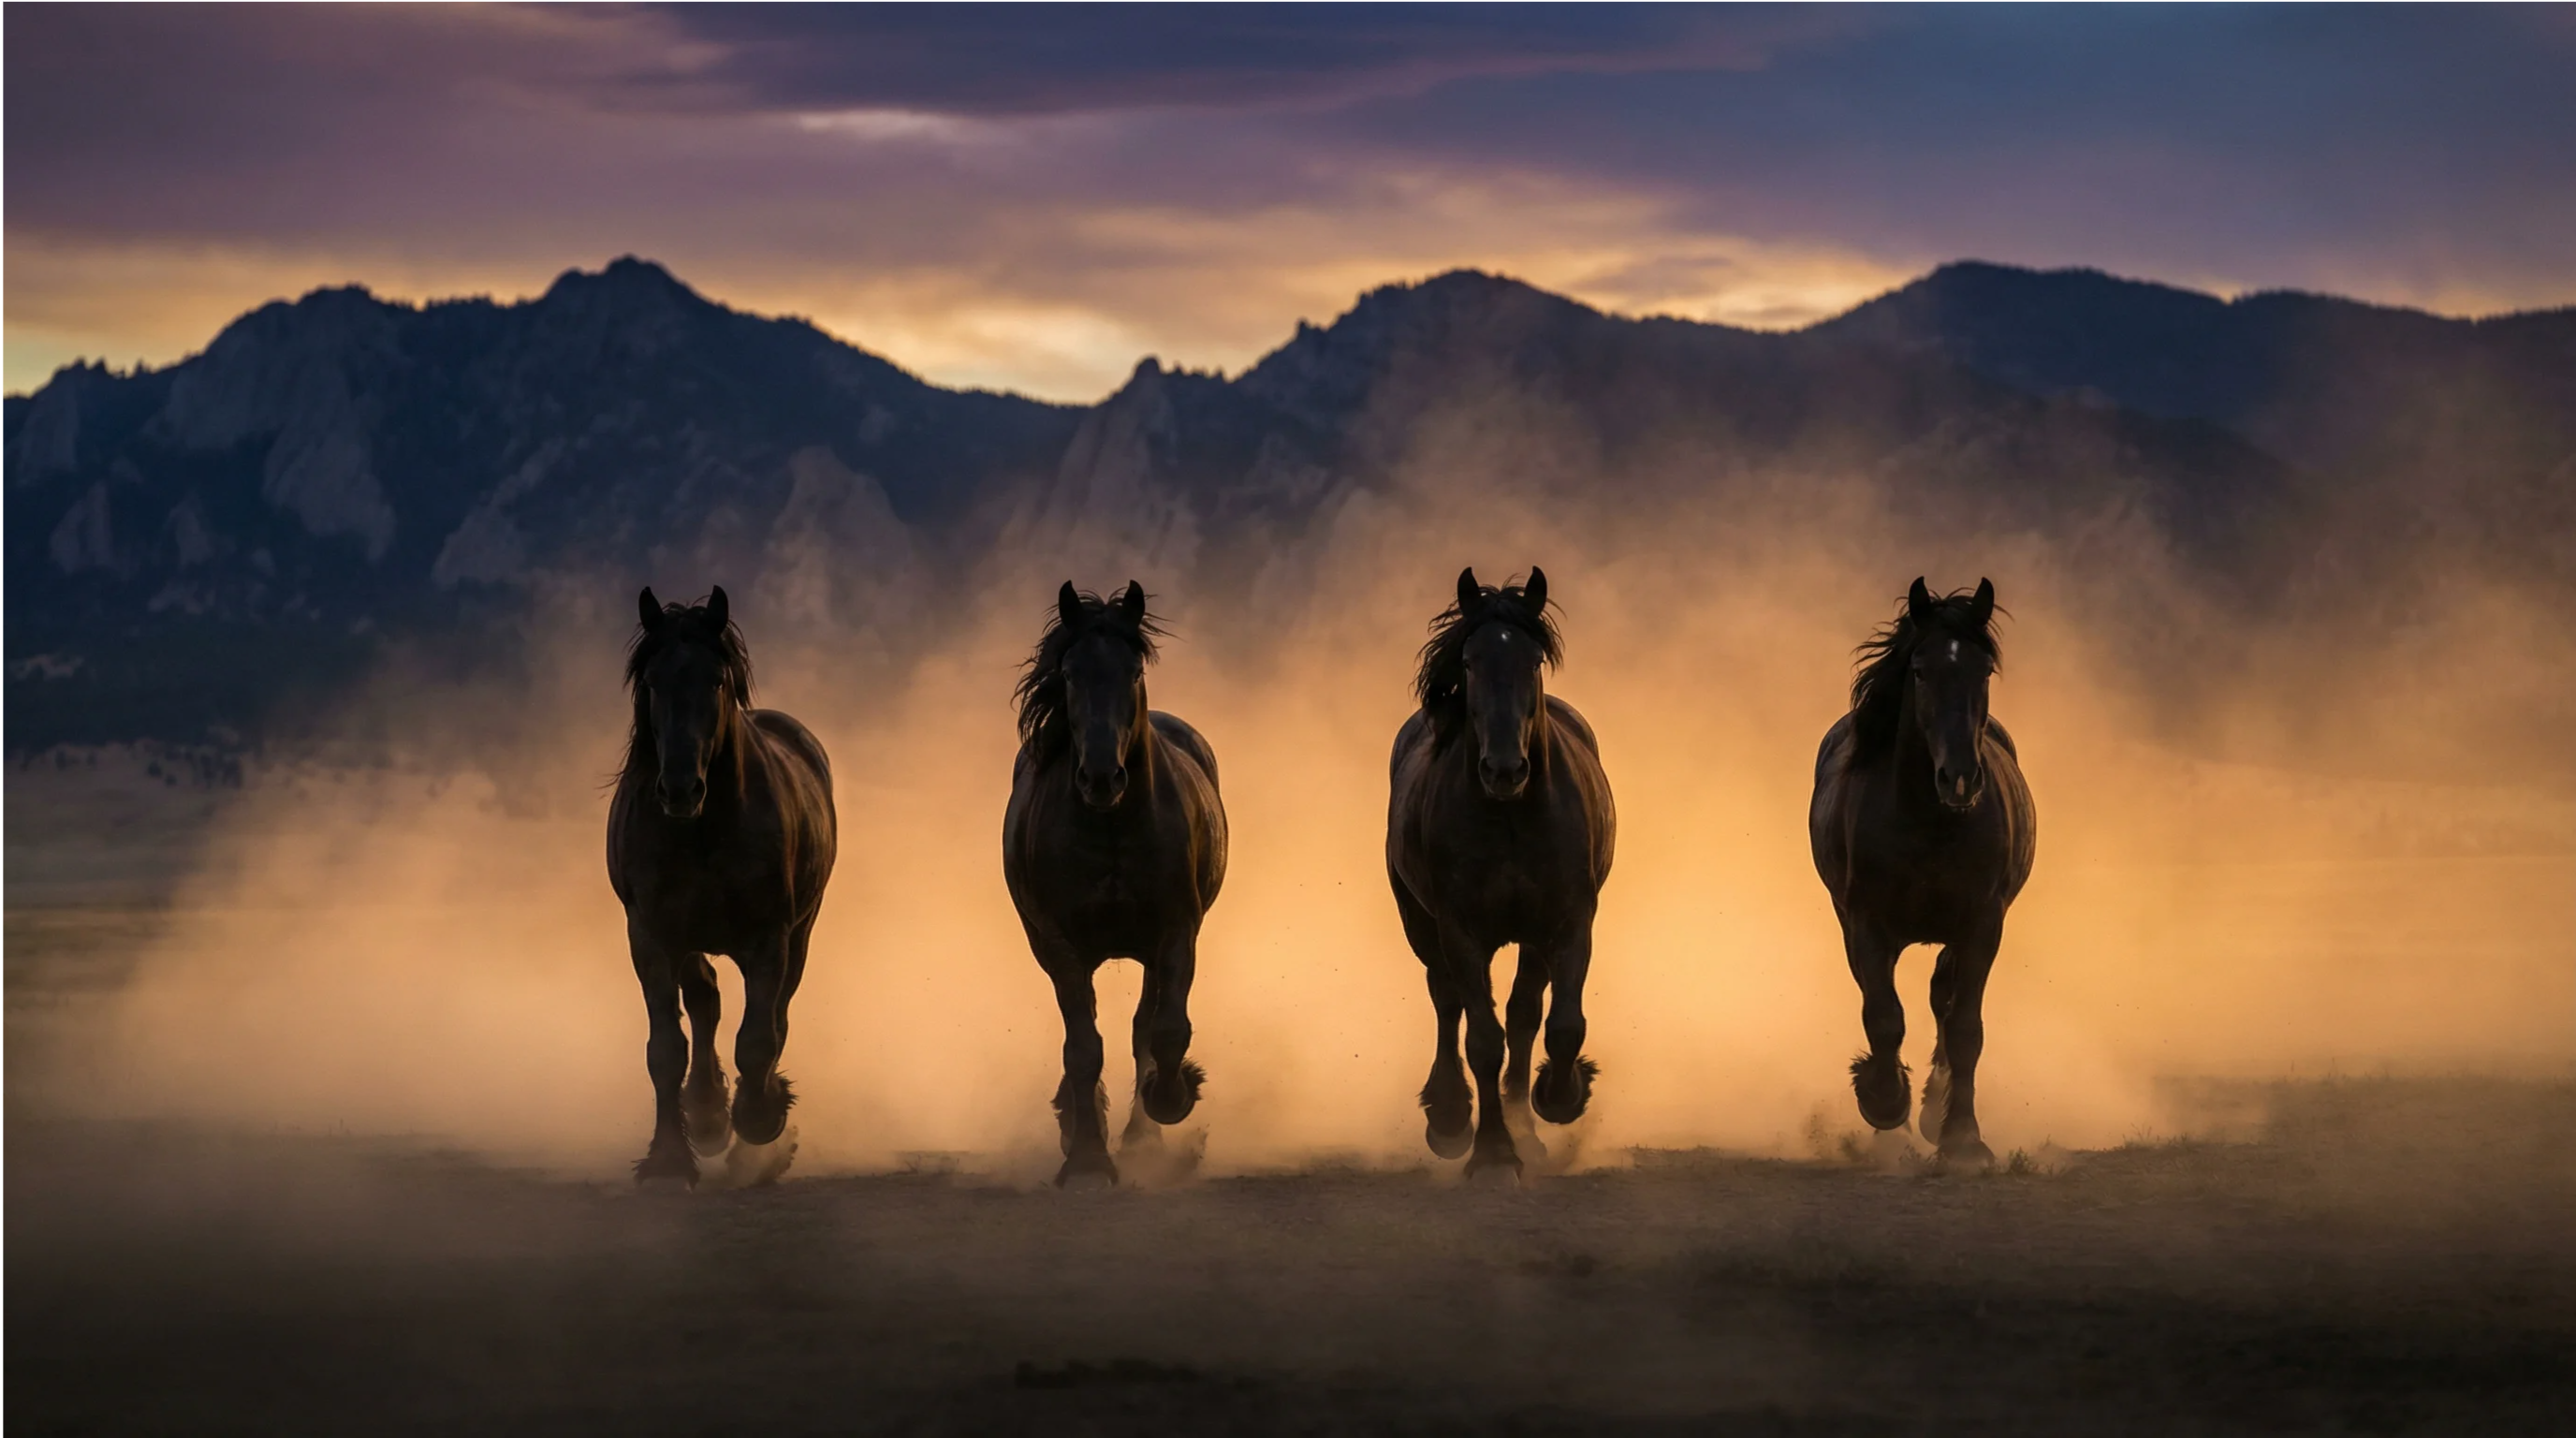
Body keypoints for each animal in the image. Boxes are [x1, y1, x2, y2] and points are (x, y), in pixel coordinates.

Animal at [607, 586, 836, 1187]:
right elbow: (666, 1049)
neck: (702, 830)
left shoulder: (769, 938)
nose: (680, 788)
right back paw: (707, 1113)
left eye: (715, 679)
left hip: (800, 932)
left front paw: (761, 1116)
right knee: (706, 1000)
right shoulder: (652, 936)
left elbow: (758, 1039)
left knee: (776, 1011)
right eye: (652, 681)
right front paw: (668, 1158)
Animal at [1002, 581, 1228, 1187]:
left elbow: (1165, 1031)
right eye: (1070, 672)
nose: (1101, 778)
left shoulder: (1175, 934)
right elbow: (1083, 1047)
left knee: (1142, 1029)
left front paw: (1171, 1099)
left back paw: (1140, 1133)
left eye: (1132, 671)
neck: (1111, 828)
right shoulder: (1060, 946)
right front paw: (1086, 1159)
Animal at [1387, 567, 1616, 1180]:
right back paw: (1449, 1117)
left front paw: (1558, 1098)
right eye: (1469, 662)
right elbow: (1482, 1039)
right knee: (1447, 1002)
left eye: (1533, 661)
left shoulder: (1568, 924)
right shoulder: (1460, 932)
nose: (1505, 769)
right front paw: (1491, 1152)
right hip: (1420, 924)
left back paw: (1528, 1129)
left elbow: (1559, 1026)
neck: (1512, 817)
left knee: (1524, 1015)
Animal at [1809, 577, 2037, 1170]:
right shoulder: (1866, 925)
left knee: (1943, 997)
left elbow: (1965, 1028)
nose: (1959, 778)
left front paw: (1962, 1138)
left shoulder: (1982, 925)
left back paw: (1937, 1106)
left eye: (1983, 670)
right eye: (1920, 670)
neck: (1928, 823)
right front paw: (1884, 1101)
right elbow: (1883, 1015)